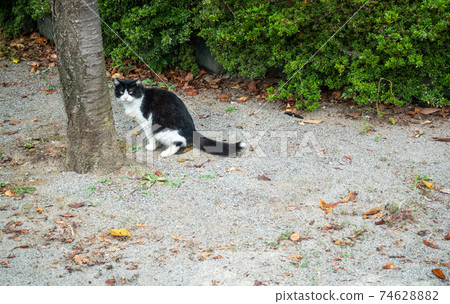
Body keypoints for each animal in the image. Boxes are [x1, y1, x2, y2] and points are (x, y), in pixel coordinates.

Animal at [113, 79, 246, 157]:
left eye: (131, 91)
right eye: (121, 92)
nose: (125, 97)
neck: (139, 99)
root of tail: (192, 130)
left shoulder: (146, 122)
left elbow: (150, 136)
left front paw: (152, 146)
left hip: (161, 129)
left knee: (180, 142)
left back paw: (166, 153)